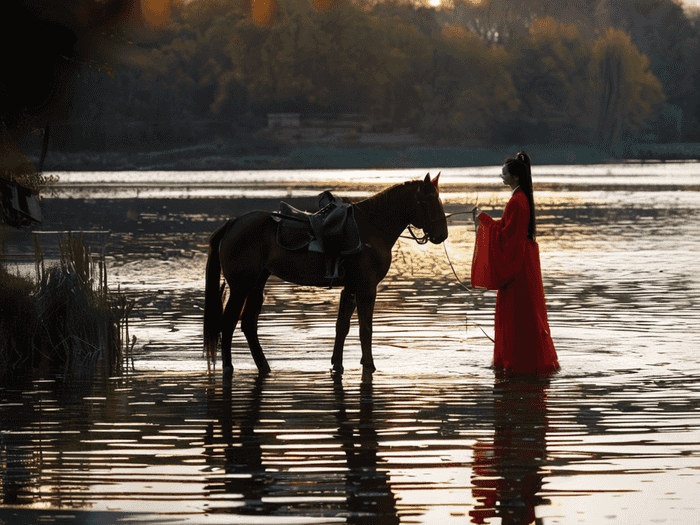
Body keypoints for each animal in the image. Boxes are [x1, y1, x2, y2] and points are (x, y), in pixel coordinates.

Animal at [201, 173, 448, 380]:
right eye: (430, 200)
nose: (442, 235)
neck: (370, 229)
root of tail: (233, 223)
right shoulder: (366, 288)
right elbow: (365, 328)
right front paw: (369, 364)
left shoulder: (350, 288)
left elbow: (342, 326)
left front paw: (337, 364)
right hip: (240, 287)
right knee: (228, 323)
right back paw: (228, 367)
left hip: (256, 284)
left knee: (248, 324)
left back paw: (264, 366)